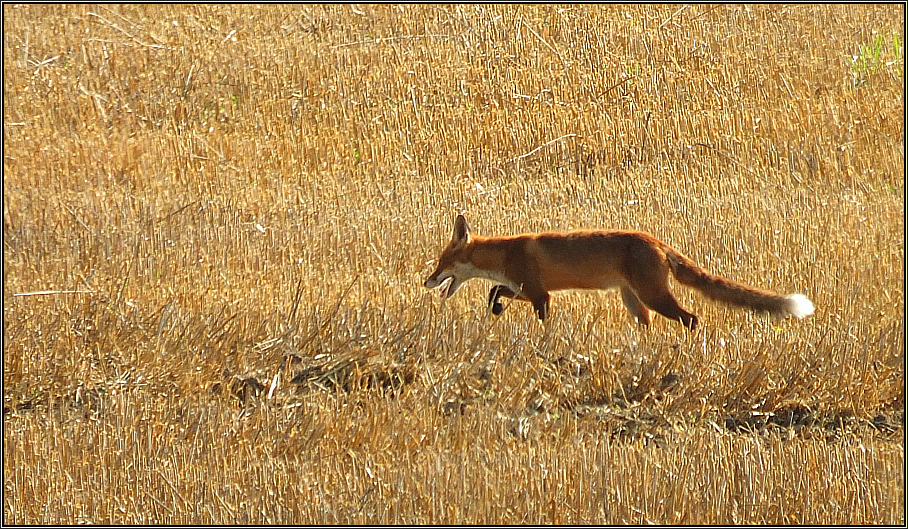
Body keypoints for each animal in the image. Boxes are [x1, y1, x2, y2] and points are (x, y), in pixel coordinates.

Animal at [426, 212, 816, 328]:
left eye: (441, 263)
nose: (426, 281)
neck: (505, 254)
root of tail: (655, 240)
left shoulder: (540, 294)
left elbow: (542, 322)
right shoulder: (527, 289)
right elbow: (494, 290)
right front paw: (495, 308)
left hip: (653, 296)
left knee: (691, 319)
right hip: (634, 301)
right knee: (650, 324)